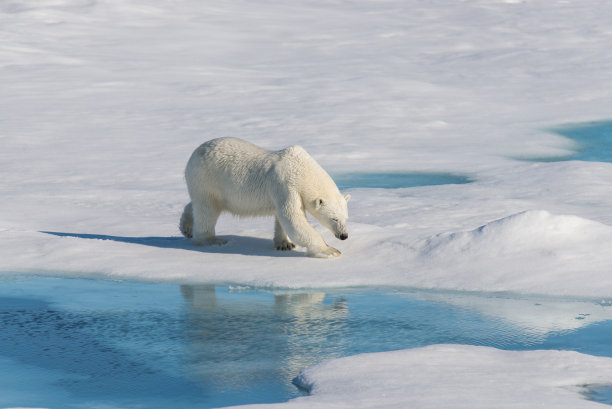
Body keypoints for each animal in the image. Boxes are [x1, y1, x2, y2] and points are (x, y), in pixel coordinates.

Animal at [178, 137, 350, 258]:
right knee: (207, 209)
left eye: (345, 218)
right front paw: (330, 250)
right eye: (334, 218)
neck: (301, 170)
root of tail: (195, 152)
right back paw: (211, 240)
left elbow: (282, 217)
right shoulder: (284, 184)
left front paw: (284, 244)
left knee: (197, 204)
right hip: (206, 178)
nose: (344, 236)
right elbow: (293, 218)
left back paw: (186, 226)